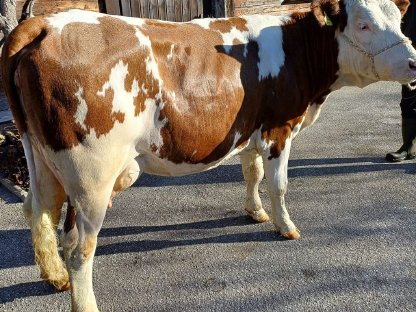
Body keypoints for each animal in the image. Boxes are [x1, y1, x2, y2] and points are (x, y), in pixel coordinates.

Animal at [0, 0, 416, 310]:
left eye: (398, 19)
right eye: (363, 25)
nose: (413, 61)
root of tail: (44, 23)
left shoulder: (250, 128)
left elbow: (252, 174)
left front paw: (255, 211)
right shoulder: (280, 128)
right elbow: (278, 184)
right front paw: (285, 226)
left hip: (39, 156)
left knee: (38, 211)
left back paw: (54, 277)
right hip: (91, 177)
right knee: (78, 247)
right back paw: (84, 301)